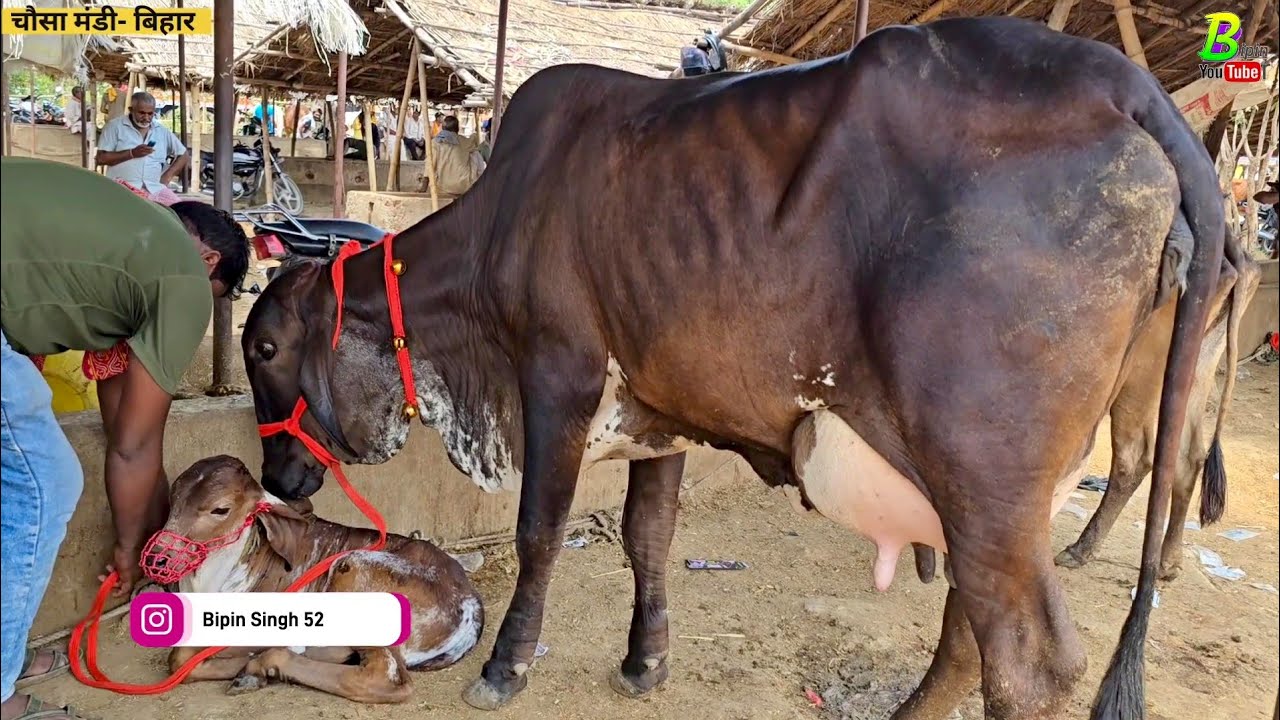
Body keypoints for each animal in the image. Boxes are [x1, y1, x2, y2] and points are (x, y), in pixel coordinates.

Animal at [241, 17, 1225, 720]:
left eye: (264, 348)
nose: (276, 477)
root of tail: (1125, 84)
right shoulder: (661, 410)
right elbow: (647, 536)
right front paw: (645, 659)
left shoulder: (557, 380)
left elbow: (538, 532)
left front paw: (506, 667)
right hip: (993, 493)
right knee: (970, 630)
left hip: (983, 469)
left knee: (1032, 664)